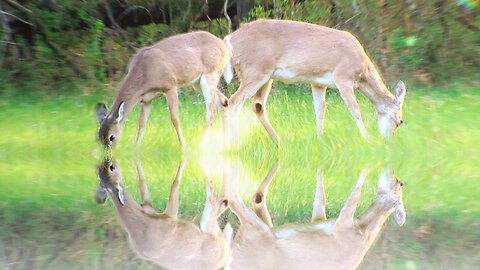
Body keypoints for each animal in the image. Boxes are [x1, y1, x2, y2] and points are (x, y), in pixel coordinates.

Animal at [94, 31, 232, 150]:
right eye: (98, 137)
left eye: (112, 137)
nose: (108, 156)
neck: (144, 73)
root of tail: (224, 45)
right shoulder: (147, 99)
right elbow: (142, 122)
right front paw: (135, 148)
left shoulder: (170, 86)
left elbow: (175, 118)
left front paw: (183, 145)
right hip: (197, 83)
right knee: (224, 101)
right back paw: (226, 142)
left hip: (210, 74)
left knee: (211, 112)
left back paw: (203, 143)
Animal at [94, 158, 232, 270]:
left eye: (110, 168)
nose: (106, 160)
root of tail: (225, 254)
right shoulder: (169, 218)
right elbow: (174, 185)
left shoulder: (150, 208)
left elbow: (143, 182)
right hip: (208, 227)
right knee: (214, 196)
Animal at [223, 19, 406, 144]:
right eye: (400, 121)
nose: (389, 141)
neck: (363, 73)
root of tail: (229, 40)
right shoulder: (343, 77)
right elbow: (355, 109)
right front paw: (367, 139)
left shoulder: (318, 83)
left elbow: (320, 109)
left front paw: (320, 138)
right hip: (255, 71)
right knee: (234, 101)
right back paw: (235, 143)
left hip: (267, 77)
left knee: (257, 105)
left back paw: (278, 142)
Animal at [225, 160, 404, 270]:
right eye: (400, 184)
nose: (397, 177)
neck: (362, 231)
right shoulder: (326, 220)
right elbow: (323, 197)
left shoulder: (342, 223)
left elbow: (354, 194)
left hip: (256, 229)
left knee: (234, 199)